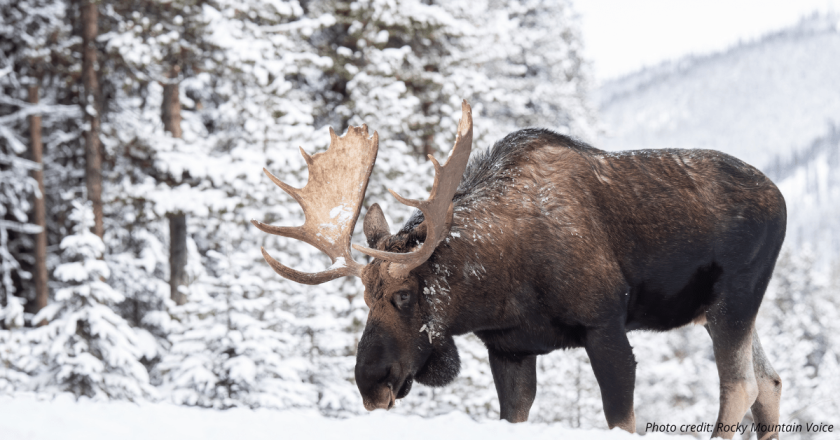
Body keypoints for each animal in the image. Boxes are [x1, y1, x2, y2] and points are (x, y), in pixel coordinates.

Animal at [252, 101, 786, 439]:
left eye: (404, 295)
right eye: (365, 298)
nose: (371, 382)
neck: (500, 286)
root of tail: (780, 198)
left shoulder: (606, 327)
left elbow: (621, 418)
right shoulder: (509, 350)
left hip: (735, 298)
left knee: (740, 387)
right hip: (720, 311)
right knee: (770, 383)